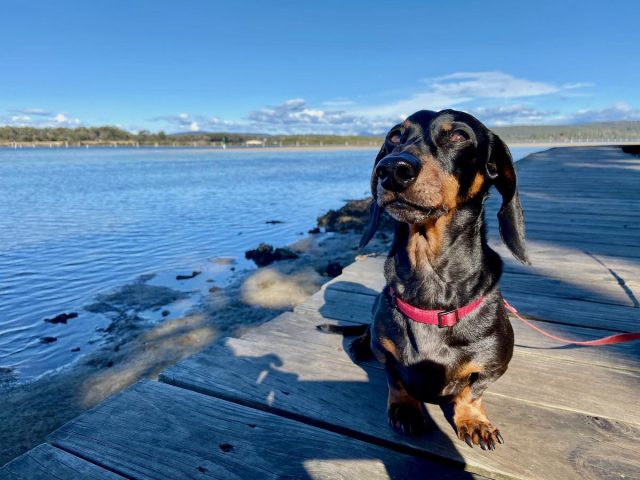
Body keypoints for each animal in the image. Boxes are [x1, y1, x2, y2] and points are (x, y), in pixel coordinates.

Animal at [318, 109, 528, 450]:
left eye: (458, 135)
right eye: (394, 135)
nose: (392, 169)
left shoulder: (495, 364)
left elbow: (472, 390)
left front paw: (473, 419)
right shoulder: (387, 352)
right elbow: (396, 379)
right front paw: (405, 409)